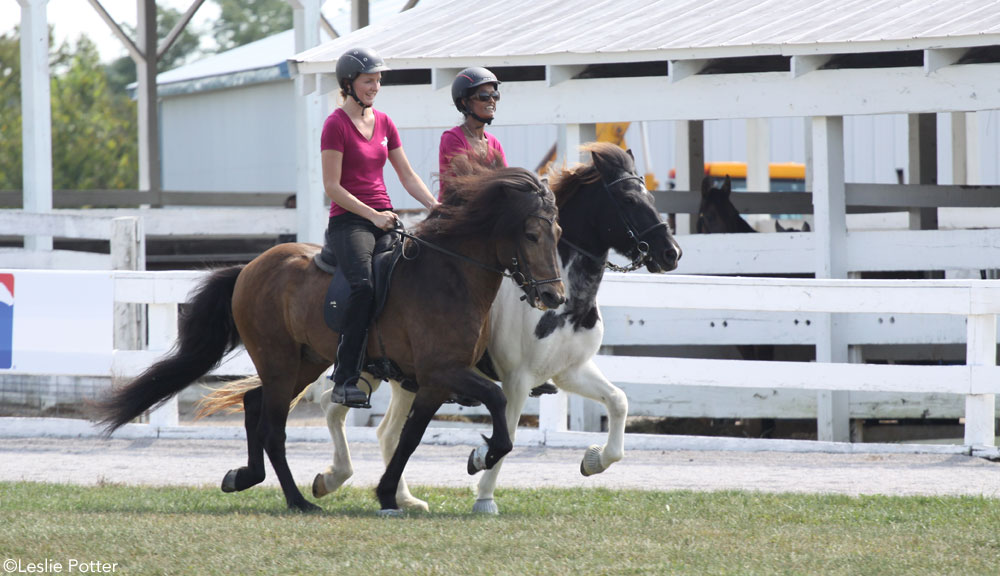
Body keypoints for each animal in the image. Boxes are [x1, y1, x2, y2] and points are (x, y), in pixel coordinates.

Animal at [97, 165, 568, 512]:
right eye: (531, 235)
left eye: (559, 235)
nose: (554, 297)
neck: (451, 276)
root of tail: (251, 267)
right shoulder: (443, 371)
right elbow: (497, 403)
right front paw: (477, 458)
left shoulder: (435, 381)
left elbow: (412, 437)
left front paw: (389, 493)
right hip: (280, 361)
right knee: (272, 427)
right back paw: (298, 501)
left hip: (306, 362)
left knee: (253, 405)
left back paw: (245, 477)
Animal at [316, 143, 684, 512]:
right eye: (628, 199)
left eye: (650, 196)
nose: (672, 253)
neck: (568, 302)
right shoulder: (517, 379)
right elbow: (507, 431)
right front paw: (484, 487)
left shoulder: (570, 371)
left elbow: (618, 401)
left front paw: (594, 460)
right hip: (379, 370)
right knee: (334, 407)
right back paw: (334, 479)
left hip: (403, 377)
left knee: (385, 431)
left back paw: (401, 498)